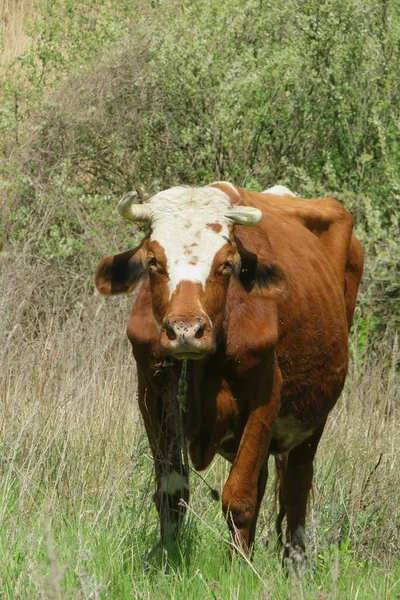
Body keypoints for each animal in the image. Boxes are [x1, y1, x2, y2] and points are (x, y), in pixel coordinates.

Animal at [95, 180, 364, 564]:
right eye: (154, 260)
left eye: (226, 264)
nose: (186, 330)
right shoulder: (151, 394)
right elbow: (171, 492)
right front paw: (168, 556)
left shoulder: (266, 395)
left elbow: (240, 497)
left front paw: (238, 568)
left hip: (314, 417)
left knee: (296, 487)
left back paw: (294, 564)